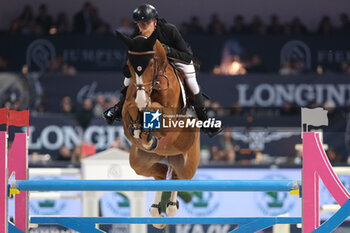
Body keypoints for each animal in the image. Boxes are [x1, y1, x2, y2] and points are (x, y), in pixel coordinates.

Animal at [116, 29, 201, 229]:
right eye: (129, 65)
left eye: (151, 63)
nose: (142, 100)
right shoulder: (129, 104)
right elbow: (130, 108)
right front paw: (138, 129)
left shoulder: (169, 115)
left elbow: (155, 110)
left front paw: (147, 133)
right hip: (140, 163)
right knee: (162, 174)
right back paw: (157, 211)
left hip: (188, 163)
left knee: (179, 177)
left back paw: (171, 207)